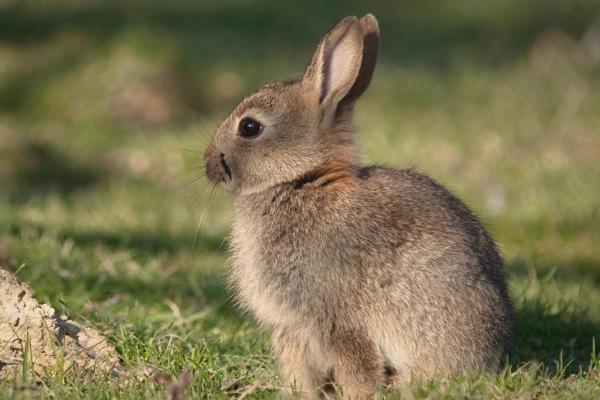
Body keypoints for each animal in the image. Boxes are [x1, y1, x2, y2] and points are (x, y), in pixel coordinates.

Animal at [204, 14, 512, 398]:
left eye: (249, 127)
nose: (208, 165)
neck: (301, 180)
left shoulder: (332, 318)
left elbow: (356, 363)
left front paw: (356, 394)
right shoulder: (294, 327)